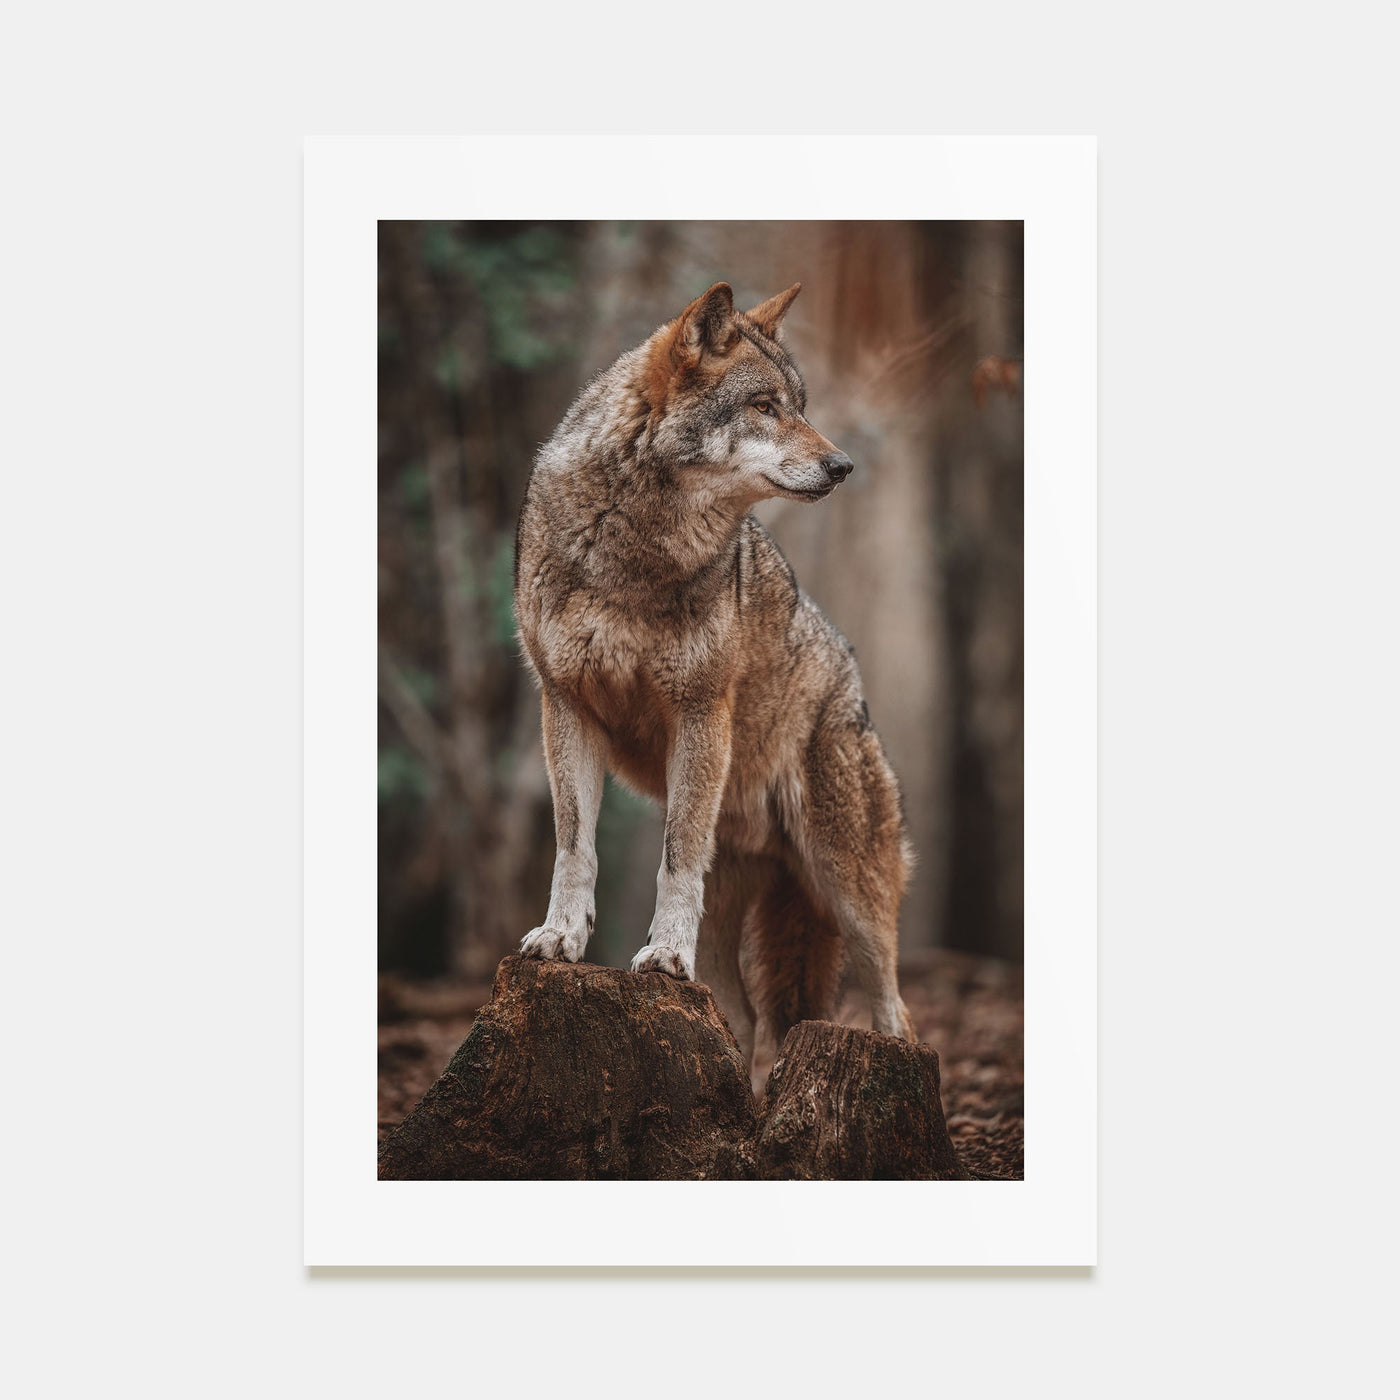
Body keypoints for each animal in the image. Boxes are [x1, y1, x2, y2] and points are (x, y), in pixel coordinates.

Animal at [514, 280, 916, 1070]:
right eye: (765, 406)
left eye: (801, 404)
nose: (844, 466)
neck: (634, 546)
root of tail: (852, 683)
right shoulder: (566, 705)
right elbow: (575, 847)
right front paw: (562, 939)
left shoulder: (698, 710)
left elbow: (674, 857)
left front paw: (665, 956)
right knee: (748, 1021)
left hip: (848, 886)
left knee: (896, 1008)